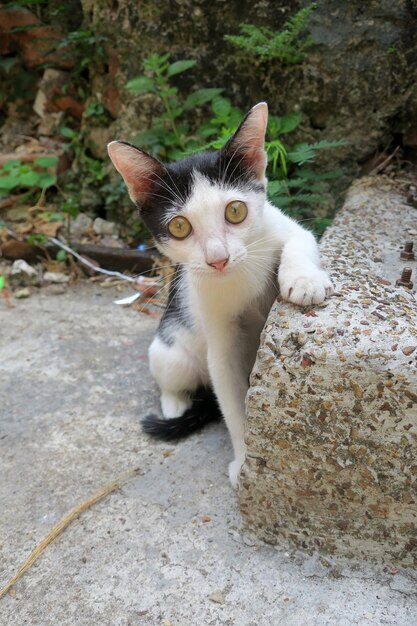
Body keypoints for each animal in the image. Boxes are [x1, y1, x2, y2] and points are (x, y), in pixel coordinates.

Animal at [107, 102, 332, 486]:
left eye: (236, 210)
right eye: (179, 226)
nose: (218, 259)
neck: (239, 273)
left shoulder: (284, 225)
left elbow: (300, 240)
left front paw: (304, 280)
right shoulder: (220, 344)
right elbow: (232, 400)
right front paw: (244, 463)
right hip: (172, 349)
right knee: (171, 377)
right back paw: (175, 405)